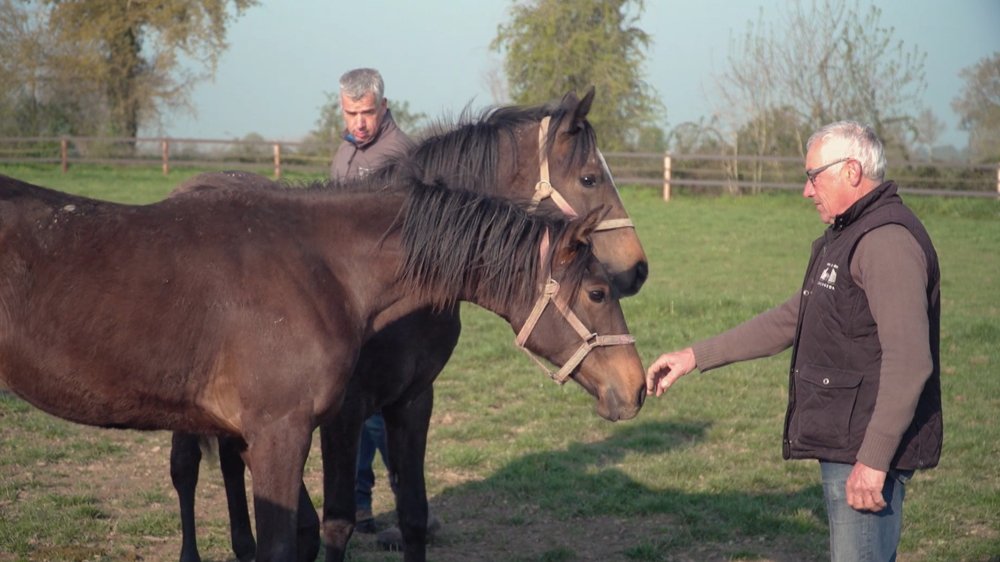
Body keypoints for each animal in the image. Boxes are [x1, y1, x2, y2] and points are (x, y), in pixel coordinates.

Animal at [167, 88, 649, 562]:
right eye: (590, 178)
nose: (637, 269)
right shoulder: (342, 412)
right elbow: (334, 522)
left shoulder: (414, 399)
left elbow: (413, 513)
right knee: (185, 469)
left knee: (230, 458)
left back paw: (244, 545)